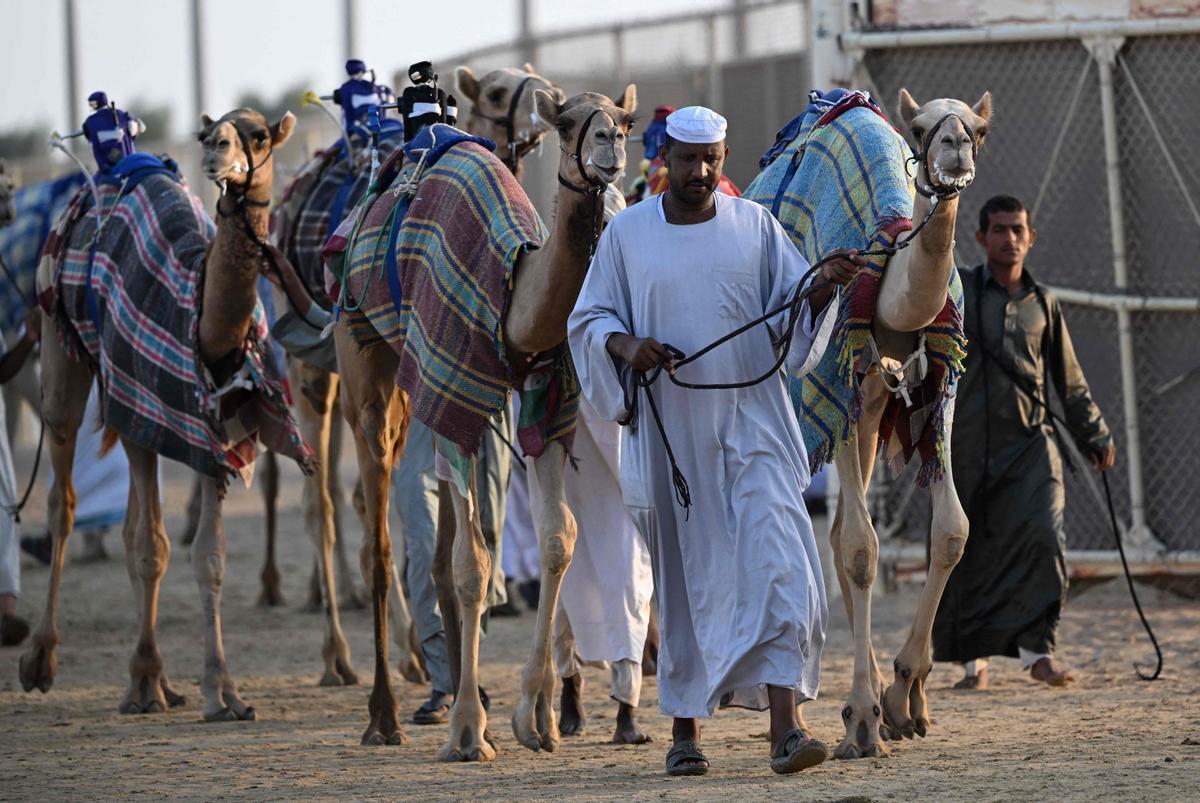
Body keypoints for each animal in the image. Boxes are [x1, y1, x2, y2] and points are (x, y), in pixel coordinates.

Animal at [21, 108, 307, 720]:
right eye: (210, 132)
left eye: (259, 136)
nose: (218, 150)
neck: (201, 326)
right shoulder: (144, 411)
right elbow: (152, 548)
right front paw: (146, 679)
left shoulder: (214, 434)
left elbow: (207, 557)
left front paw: (223, 692)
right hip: (59, 342)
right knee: (64, 499)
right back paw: (41, 660)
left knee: (130, 524)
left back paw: (164, 681)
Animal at [333, 82, 638, 753]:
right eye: (570, 122)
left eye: (626, 118)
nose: (610, 146)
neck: (511, 290)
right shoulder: (456, 392)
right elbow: (473, 566)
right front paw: (470, 729)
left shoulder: (546, 399)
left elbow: (557, 538)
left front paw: (537, 716)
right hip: (364, 363)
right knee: (381, 544)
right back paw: (383, 715)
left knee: (437, 542)